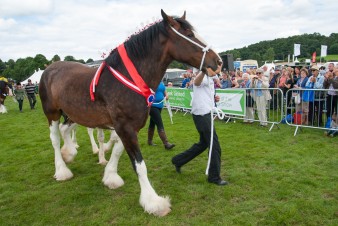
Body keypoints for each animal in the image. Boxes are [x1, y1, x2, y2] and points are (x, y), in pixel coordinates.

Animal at [38, 9, 222, 216]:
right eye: (189, 35)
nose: (218, 62)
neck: (128, 79)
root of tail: (50, 68)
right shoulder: (124, 126)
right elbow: (139, 165)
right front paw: (153, 202)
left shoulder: (128, 127)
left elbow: (118, 151)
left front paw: (110, 176)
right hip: (52, 113)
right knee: (55, 138)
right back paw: (62, 170)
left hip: (74, 114)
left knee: (65, 130)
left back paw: (69, 152)